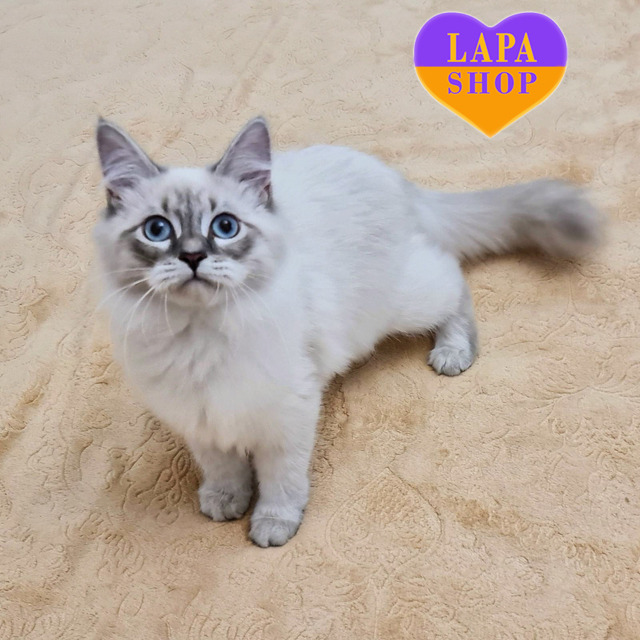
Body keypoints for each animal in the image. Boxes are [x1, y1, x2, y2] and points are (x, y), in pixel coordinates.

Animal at [94, 116, 602, 546]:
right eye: (158, 231)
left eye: (224, 227)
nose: (194, 256)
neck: (199, 335)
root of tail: (394, 178)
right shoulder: (200, 419)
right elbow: (223, 469)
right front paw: (225, 501)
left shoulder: (287, 415)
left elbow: (280, 481)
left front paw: (272, 525)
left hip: (400, 303)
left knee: (454, 278)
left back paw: (453, 352)